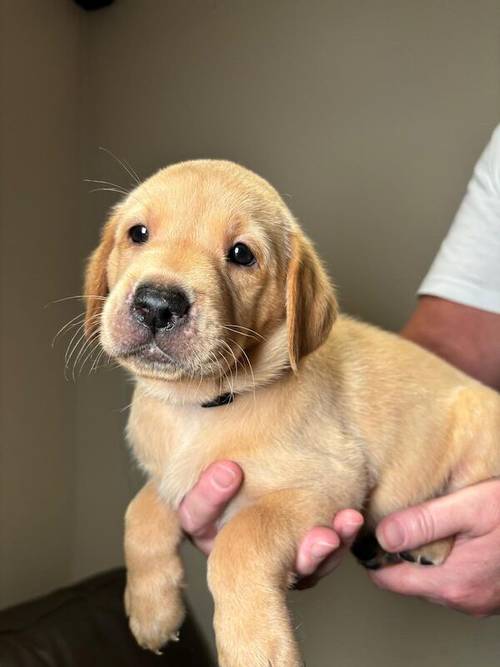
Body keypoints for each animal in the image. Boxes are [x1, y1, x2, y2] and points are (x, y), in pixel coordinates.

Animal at [84, 159, 500, 664]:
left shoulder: (327, 484)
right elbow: (140, 511)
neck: (200, 405)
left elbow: (238, 541)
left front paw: (255, 648)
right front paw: (151, 611)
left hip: (478, 421)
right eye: (138, 233)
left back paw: (430, 544)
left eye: (242, 254)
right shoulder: (173, 477)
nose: (158, 304)